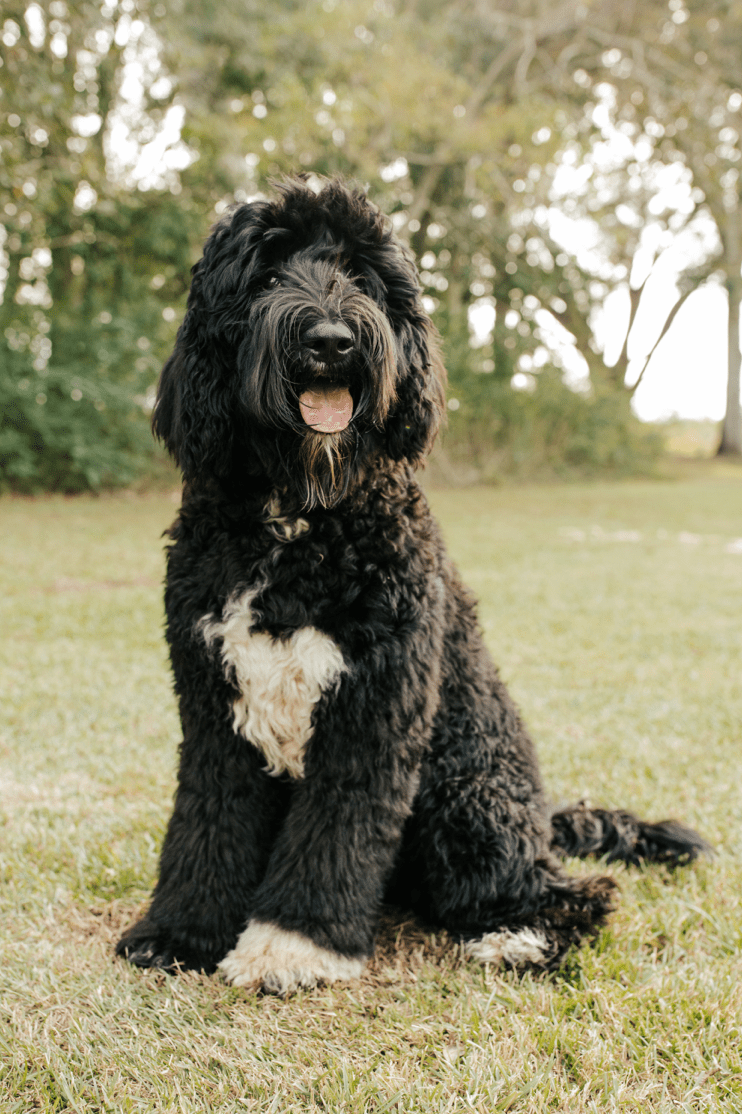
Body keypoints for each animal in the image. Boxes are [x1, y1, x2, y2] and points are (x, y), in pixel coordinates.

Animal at [118, 178, 708, 998]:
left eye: (362, 276)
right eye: (267, 273)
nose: (332, 340)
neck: (300, 518)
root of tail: (542, 816)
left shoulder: (374, 707)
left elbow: (336, 829)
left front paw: (292, 946)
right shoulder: (214, 707)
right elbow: (207, 822)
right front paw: (180, 931)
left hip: (467, 797)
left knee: (572, 895)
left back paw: (516, 939)